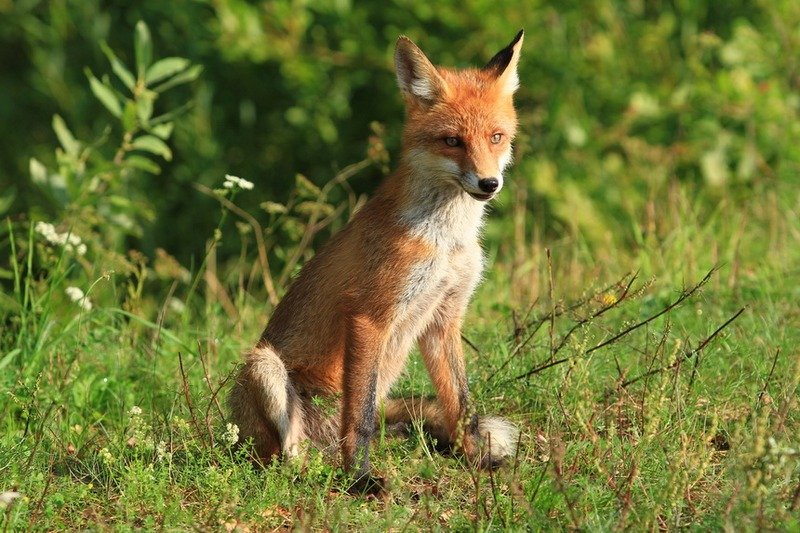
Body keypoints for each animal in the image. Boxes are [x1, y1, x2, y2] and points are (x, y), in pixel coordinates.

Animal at [228, 31, 520, 492]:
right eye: (452, 141)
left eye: (496, 137)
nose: (489, 183)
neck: (445, 241)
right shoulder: (369, 316)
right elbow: (361, 417)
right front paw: (360, 480)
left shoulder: (444, 317)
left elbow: (462, 406)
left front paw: (477, 460)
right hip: (264, 367)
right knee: (285, 459)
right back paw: (318, 474)